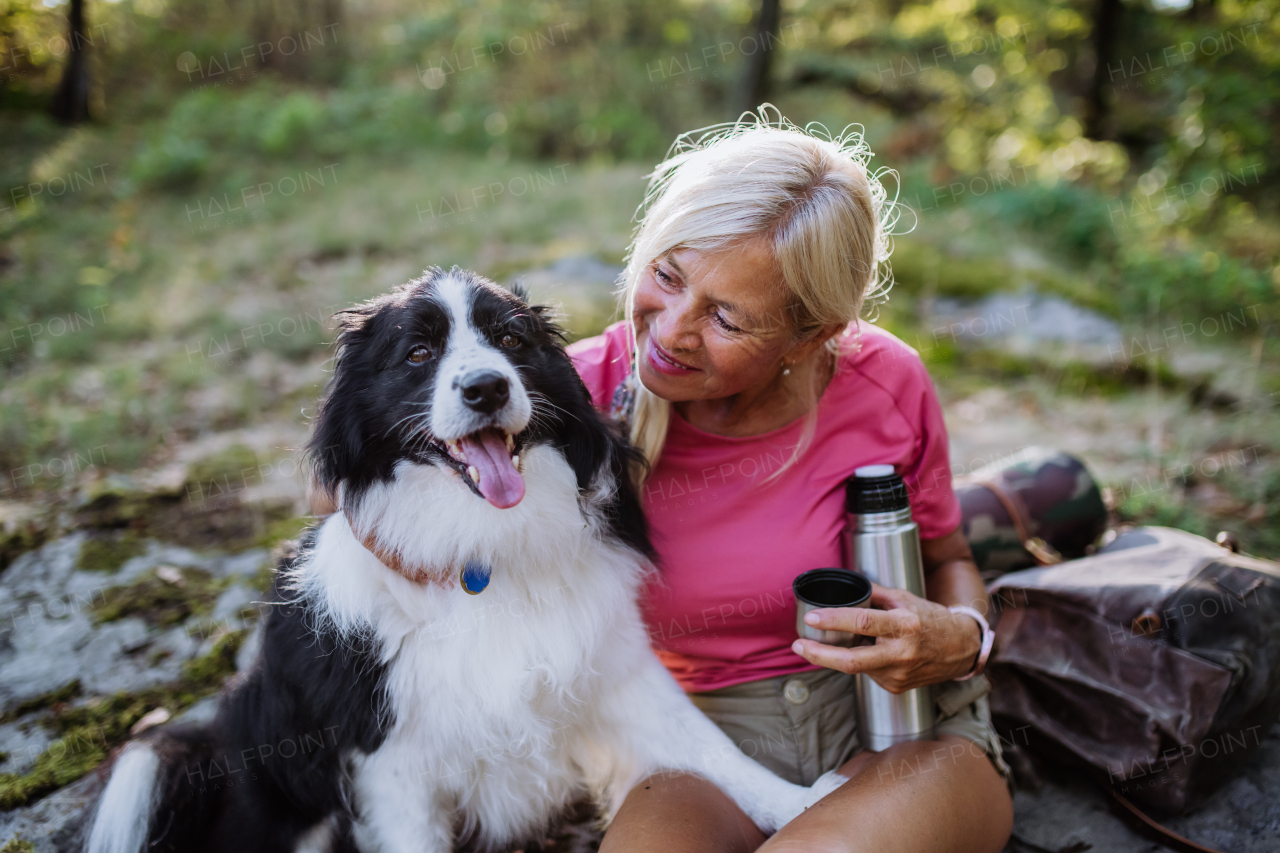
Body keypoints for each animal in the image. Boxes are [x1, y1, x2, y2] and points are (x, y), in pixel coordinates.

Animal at [87, 267, 839, 850]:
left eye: (511, 340)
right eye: (418, 352)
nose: (486, 388)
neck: (484, 550)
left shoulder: (613, 664)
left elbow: (710, 745)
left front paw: (802, 802)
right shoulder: (390, 761)